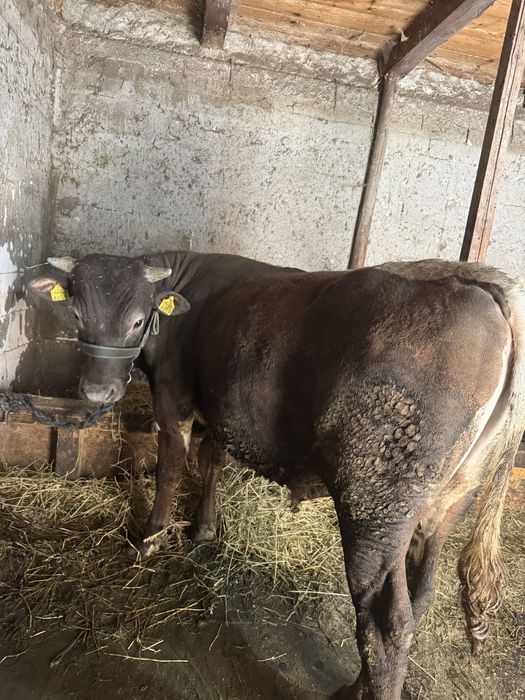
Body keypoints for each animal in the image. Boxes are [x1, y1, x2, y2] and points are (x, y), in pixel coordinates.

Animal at [28, 252, 525, 700]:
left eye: (137, 321)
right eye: (77, 314)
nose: (98, 391)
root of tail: (481, 285)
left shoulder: (174, 398)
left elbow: (171, 467)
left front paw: (151, 537)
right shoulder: (224, 410)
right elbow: (212, 462)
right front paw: (204, 528)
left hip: (378, 503)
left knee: (387, 619)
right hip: (448, 501)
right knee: (419, 601)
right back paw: (354, 687)